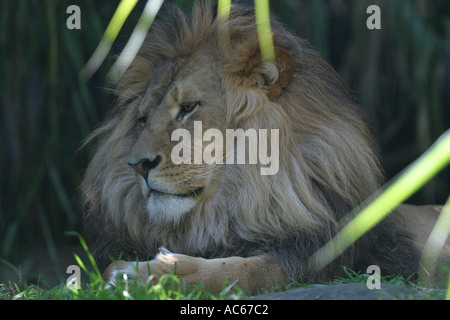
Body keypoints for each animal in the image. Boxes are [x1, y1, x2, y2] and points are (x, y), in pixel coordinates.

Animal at [81, 1, 450, 294]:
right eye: (142, 120)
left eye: (187, 108)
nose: (138, 165)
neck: (243, 195)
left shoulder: (319, 257)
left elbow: (243, 271)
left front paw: (150, 275)